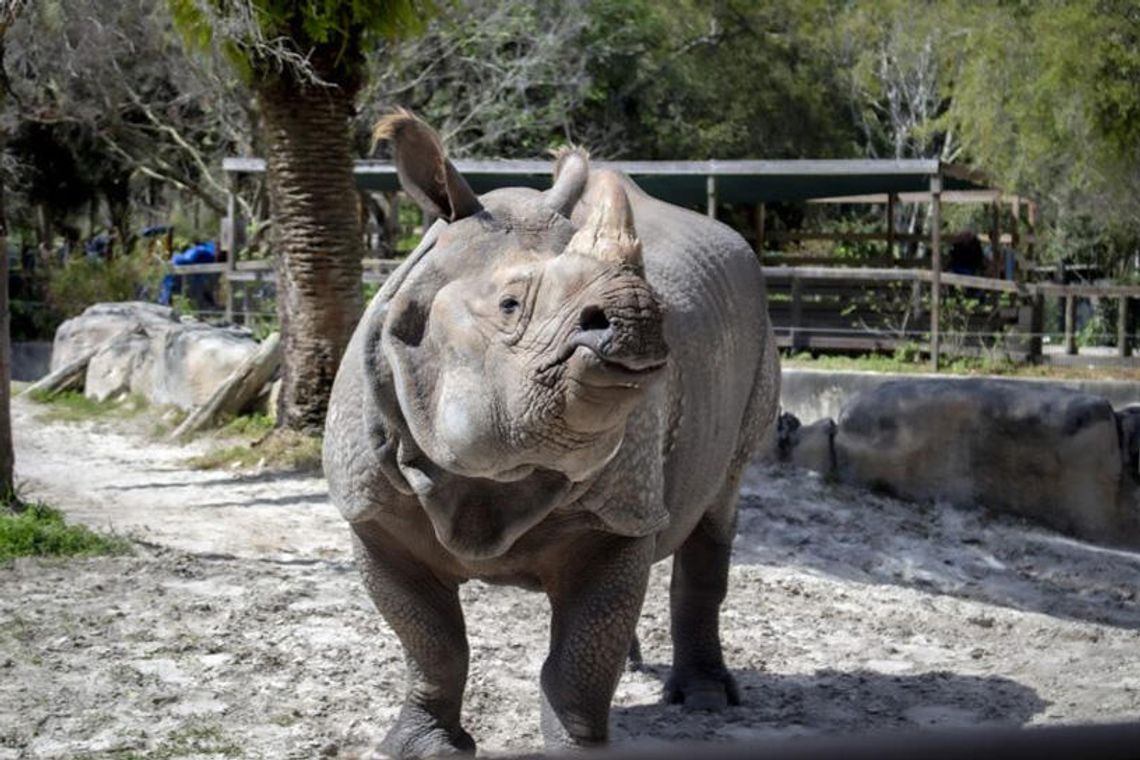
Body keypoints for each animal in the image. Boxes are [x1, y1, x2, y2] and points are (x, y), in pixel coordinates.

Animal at [323, 112, 779, 756]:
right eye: (510, 305)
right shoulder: (371, 508)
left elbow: (577, 662)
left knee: (720, 501)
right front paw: (425, 746)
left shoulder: (619, 512)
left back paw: (706, 701)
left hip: (758, 342)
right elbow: (432, 644)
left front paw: (577, 747)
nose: (639, 317)